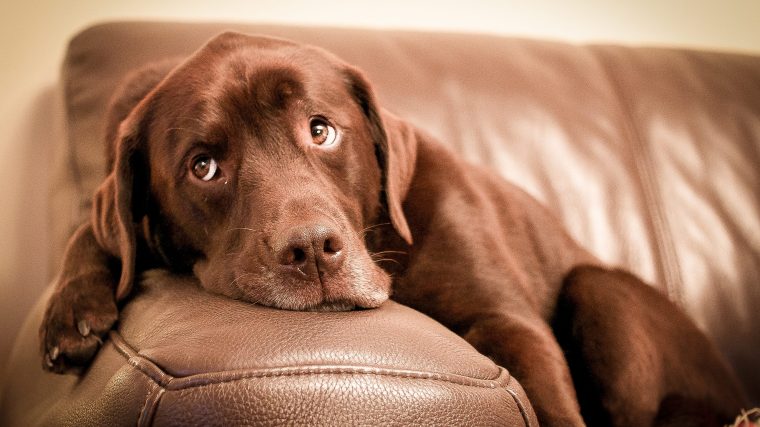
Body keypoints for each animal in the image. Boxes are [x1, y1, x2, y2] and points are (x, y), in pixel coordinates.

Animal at [38, 31, 744, 426]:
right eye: (204, 166)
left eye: (321, 129)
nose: (312, 250)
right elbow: (95, 231)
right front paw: (71, 311)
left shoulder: (509, 321)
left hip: (601, 290)